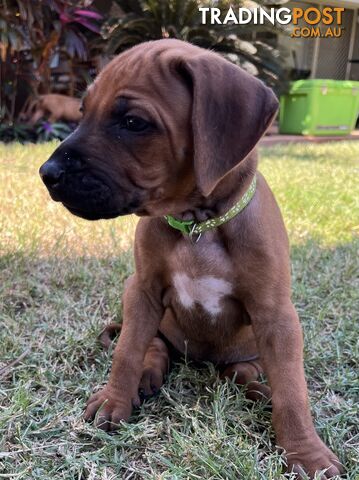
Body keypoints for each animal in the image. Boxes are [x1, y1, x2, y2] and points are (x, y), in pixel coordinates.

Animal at [39, 39, 344, 478]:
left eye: (132, 122)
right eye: (82, 112)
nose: (47, 173)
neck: (198, 224)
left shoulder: (276, 315)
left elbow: (292, 389)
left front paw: (307, 453)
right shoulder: (143, 291)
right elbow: (127, 352)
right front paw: (114, 400)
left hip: (249, 348)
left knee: (242, 372)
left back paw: (257, 388)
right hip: (149, 311)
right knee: (155, 347)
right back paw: (147, 377)